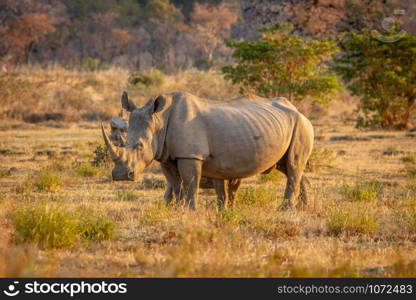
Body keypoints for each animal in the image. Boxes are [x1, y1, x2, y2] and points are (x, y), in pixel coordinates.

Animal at [102, 92, 314, 211]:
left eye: (140, 146)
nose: (121, 176)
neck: (159, 120)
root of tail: (298, 110)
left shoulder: (190, 155)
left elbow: (190, 183)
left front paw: (190, 211)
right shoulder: (165, 156)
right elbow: (175, 184)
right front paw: (177, 210)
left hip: (301, 125)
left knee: (293, 166)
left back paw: (285, 209)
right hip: (283, 125)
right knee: (289, 167)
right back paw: (302, 207)